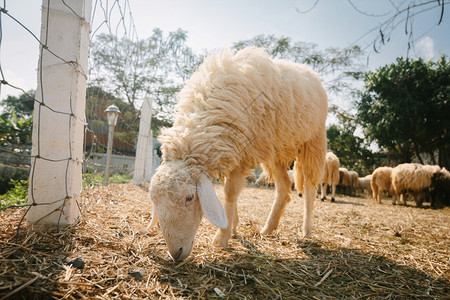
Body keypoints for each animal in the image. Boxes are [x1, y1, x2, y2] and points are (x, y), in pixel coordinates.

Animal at [148, 46, 326, 260]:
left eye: (189, 197)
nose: (176, 254)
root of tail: (309, 71)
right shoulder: (231, 150)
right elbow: (229, 192)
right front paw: (232, 227)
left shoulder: (243, 153)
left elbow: (230, 193)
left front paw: (221, 238)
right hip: (275, 150)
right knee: (284, 186)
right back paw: (268, 228)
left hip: (313, 141)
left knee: (309, 187)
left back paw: (306, 230)